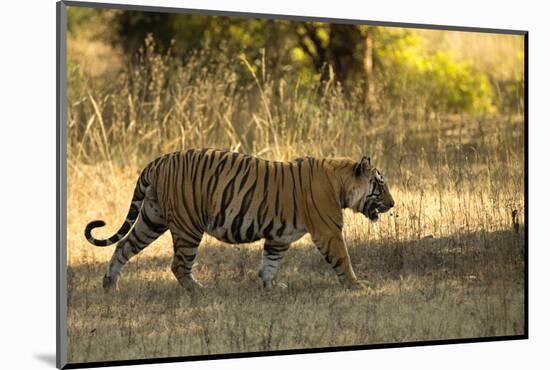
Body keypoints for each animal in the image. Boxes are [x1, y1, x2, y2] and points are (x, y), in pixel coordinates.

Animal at [85, 149, 396, 290]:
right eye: (380, 186)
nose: (393, 204)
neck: (340, 183)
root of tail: (158, 161)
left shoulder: (279, 236)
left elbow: (270, 262)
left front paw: (271, 287)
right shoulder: (329, 231)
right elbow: (343, 258)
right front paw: (357, 286)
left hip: (152, 219)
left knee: (122, 246)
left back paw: (109, 286)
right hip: (187, 227)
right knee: (178, 265)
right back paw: (199, 291)